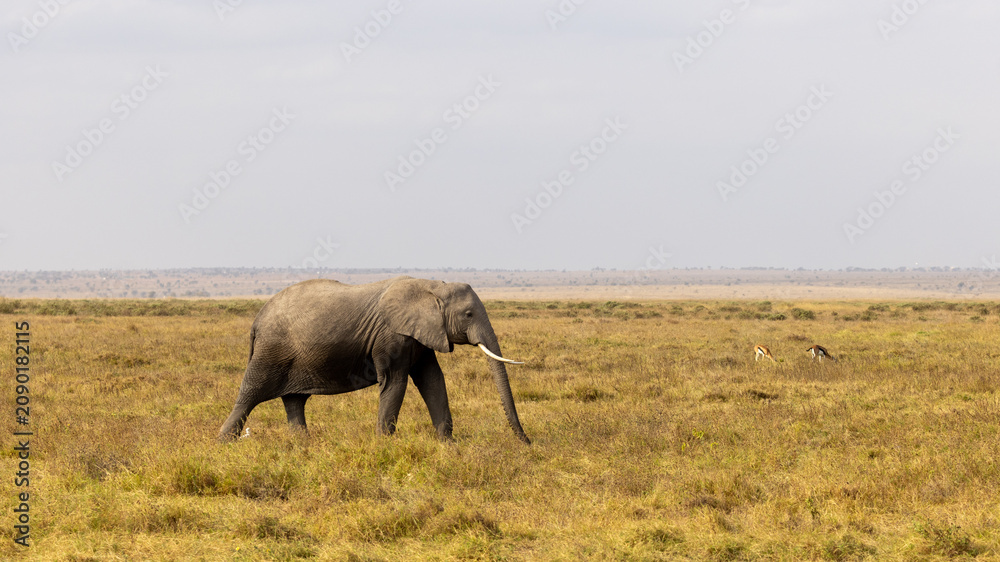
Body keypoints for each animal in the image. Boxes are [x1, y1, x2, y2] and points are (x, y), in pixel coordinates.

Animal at [218, 276, 530, 444]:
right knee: (250, 394)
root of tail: (256, 321)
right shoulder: (391, 337)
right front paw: (385, 444)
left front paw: (448, 445)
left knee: (294, 400)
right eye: (468, 314)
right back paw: (223, 443)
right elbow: (395, 382)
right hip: (272, 351)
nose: (526, 442)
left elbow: (432, 380)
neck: (432, 285)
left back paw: (303, 444)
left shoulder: (420, 336)